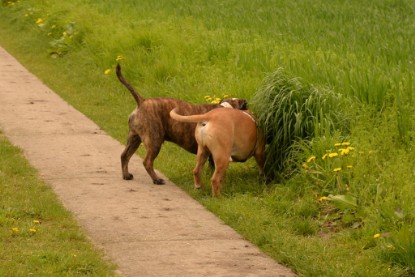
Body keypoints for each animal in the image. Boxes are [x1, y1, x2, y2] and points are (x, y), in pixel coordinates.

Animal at [115, 64, 249, 184]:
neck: (226, 107)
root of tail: (141, 102)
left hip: (134, 138)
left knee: (124, 155)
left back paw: (126, 175)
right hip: (154, 141)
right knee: (147, 162)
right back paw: (156, 180)